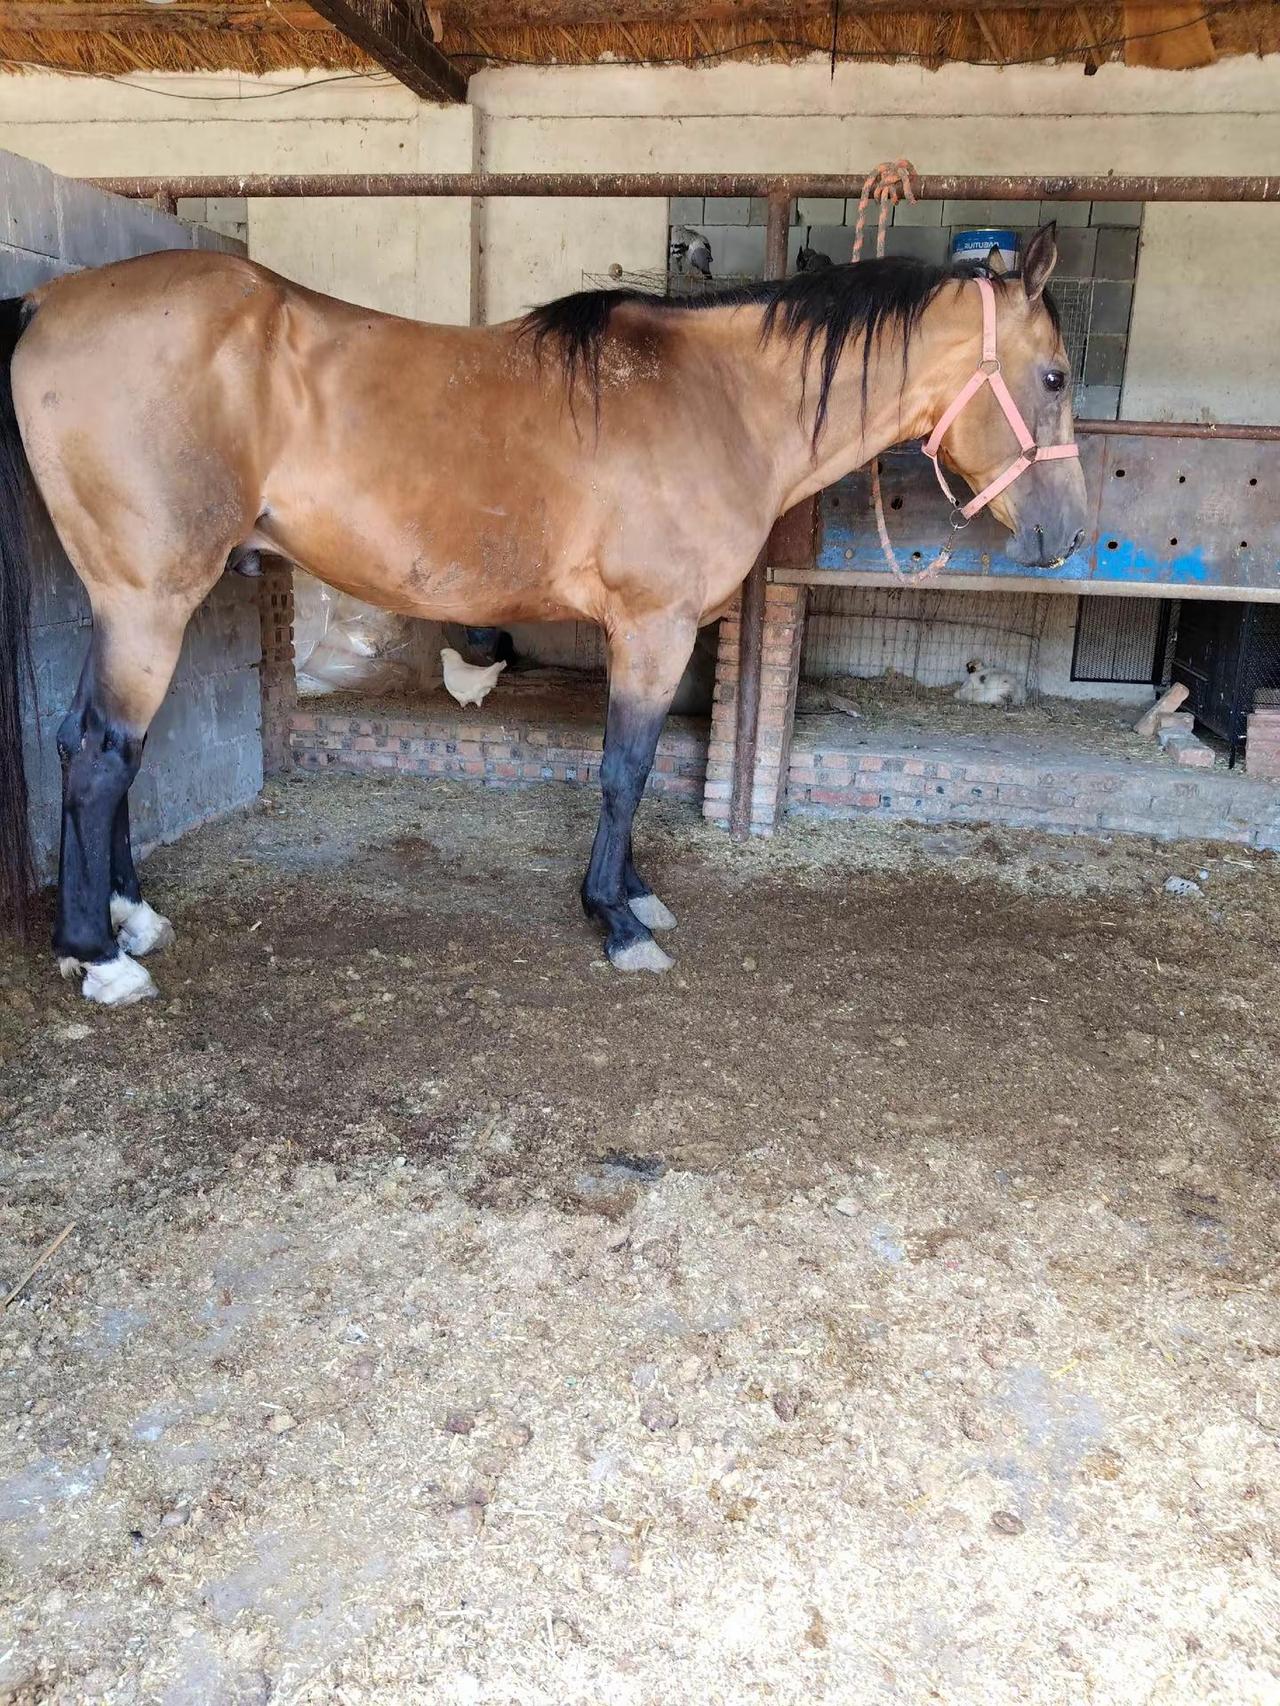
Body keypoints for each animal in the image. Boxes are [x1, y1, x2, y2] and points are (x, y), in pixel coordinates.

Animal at [0, 221, 1086, 1005]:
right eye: (1056, 375)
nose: (1065, 534)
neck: (722, 399)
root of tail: (51, 298)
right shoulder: (652, 626)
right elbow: (625, 767)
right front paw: (617, 919)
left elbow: (631, 766)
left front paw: (635, 894)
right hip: (147, 599)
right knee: (100, 753)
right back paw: (100, 954)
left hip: (147, 599)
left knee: (104, 747)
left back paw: (132, 916)